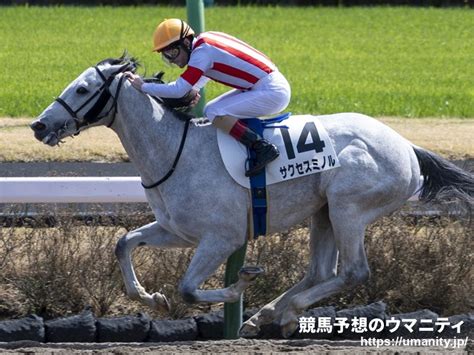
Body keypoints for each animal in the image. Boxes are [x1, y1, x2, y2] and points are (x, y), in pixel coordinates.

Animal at [31, 56, 472, 340]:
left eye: (83, 88)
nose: (39, 125)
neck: (176, 151)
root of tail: (407, 147)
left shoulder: (221, 237)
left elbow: (188, 288)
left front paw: (240, 284)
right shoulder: (178, 231)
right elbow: (124, 243)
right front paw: (149, 297)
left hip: (349, 208)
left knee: (354, 272)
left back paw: (285, 312)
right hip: (323, 212)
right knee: (321, 272)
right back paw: (268, 315)